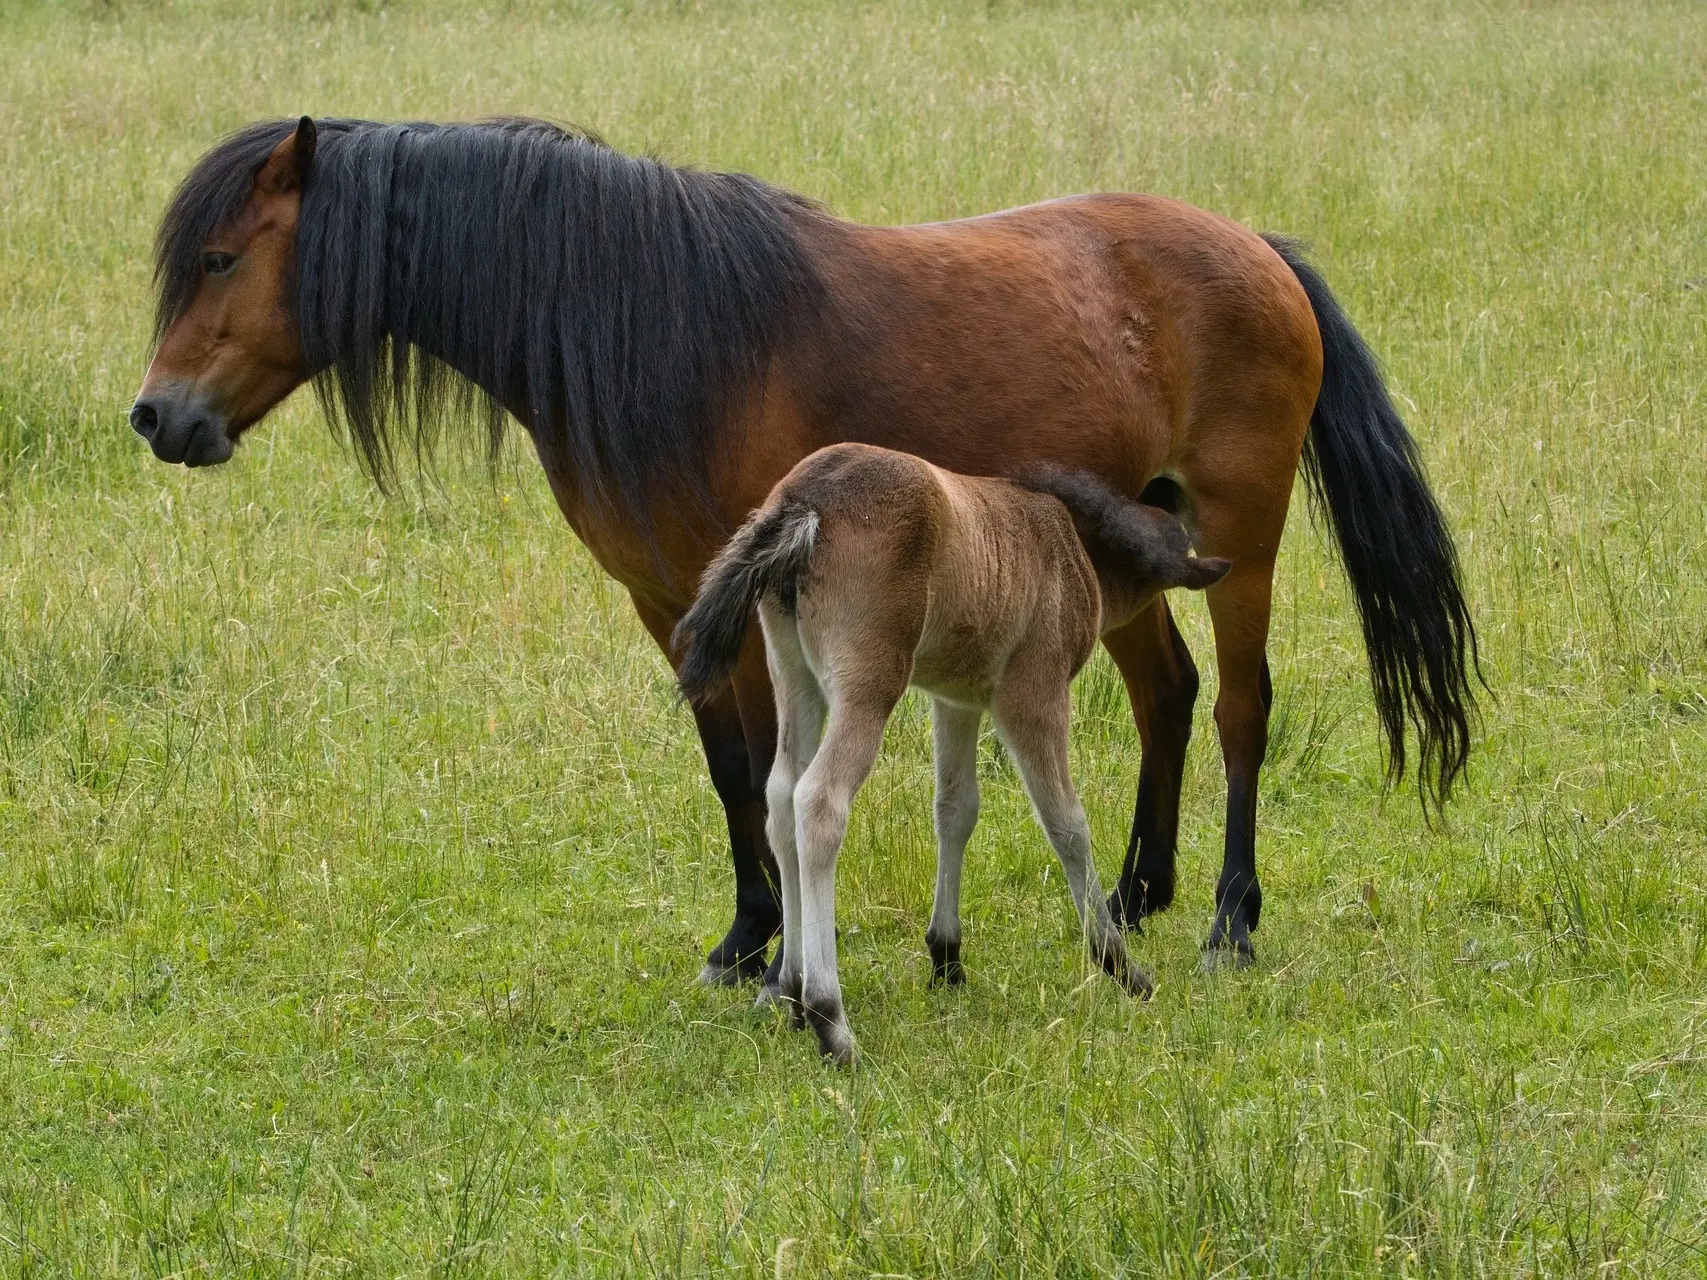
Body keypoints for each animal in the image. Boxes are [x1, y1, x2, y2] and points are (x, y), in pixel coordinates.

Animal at [133, 120, 1474, 983]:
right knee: (1170, 696)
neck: (661, 327)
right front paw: (749, 936)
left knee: (1242, 706)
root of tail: (1255, 244)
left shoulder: (741, 598)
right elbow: (733, 772)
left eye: (221, 257)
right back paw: (1136, 895)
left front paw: (769, 941)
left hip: (1240, 534)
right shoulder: (672, 601)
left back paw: (1229, 921)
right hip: (1126, 542)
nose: (157, 417)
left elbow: (764, 768)